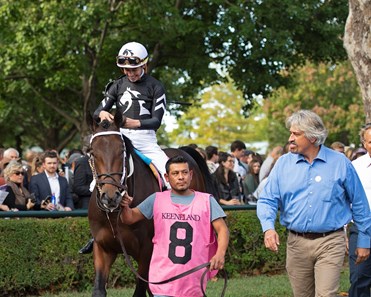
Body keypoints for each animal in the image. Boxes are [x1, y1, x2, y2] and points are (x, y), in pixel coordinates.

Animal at [88, 111, 218, 296]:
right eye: (92, 152)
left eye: (122, 150)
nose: (110, 197)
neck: (115, 216)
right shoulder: (103, 248)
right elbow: (99, 290)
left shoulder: (146, 251)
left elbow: (141, 290)